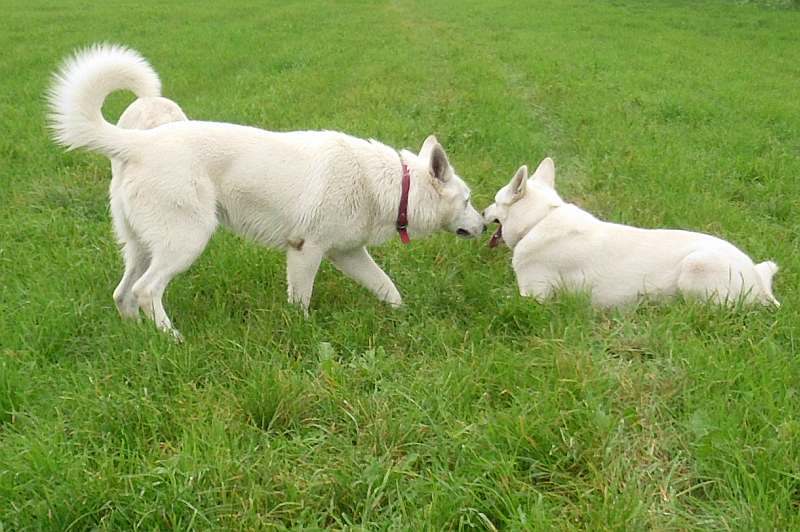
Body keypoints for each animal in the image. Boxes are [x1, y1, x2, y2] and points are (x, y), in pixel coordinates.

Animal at [51, 44, 488, 336]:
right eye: (467, 201)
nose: (485, 225)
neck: (390, 185)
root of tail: (138, 144)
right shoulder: (306, 251)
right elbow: (301, 300)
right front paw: (303, 331)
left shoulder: (348, 254)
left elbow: (386, 287)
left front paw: (403, 315)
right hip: (186, 241)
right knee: (146, 290)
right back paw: (171, 338)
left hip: (141, 246)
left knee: (122, 293)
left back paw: (139, 337)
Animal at [484, 158, 780, 308]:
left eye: (495, 202)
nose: (484, 213)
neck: (540, 219)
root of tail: (759, 281)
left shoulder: (534, 295)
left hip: (696, 264)